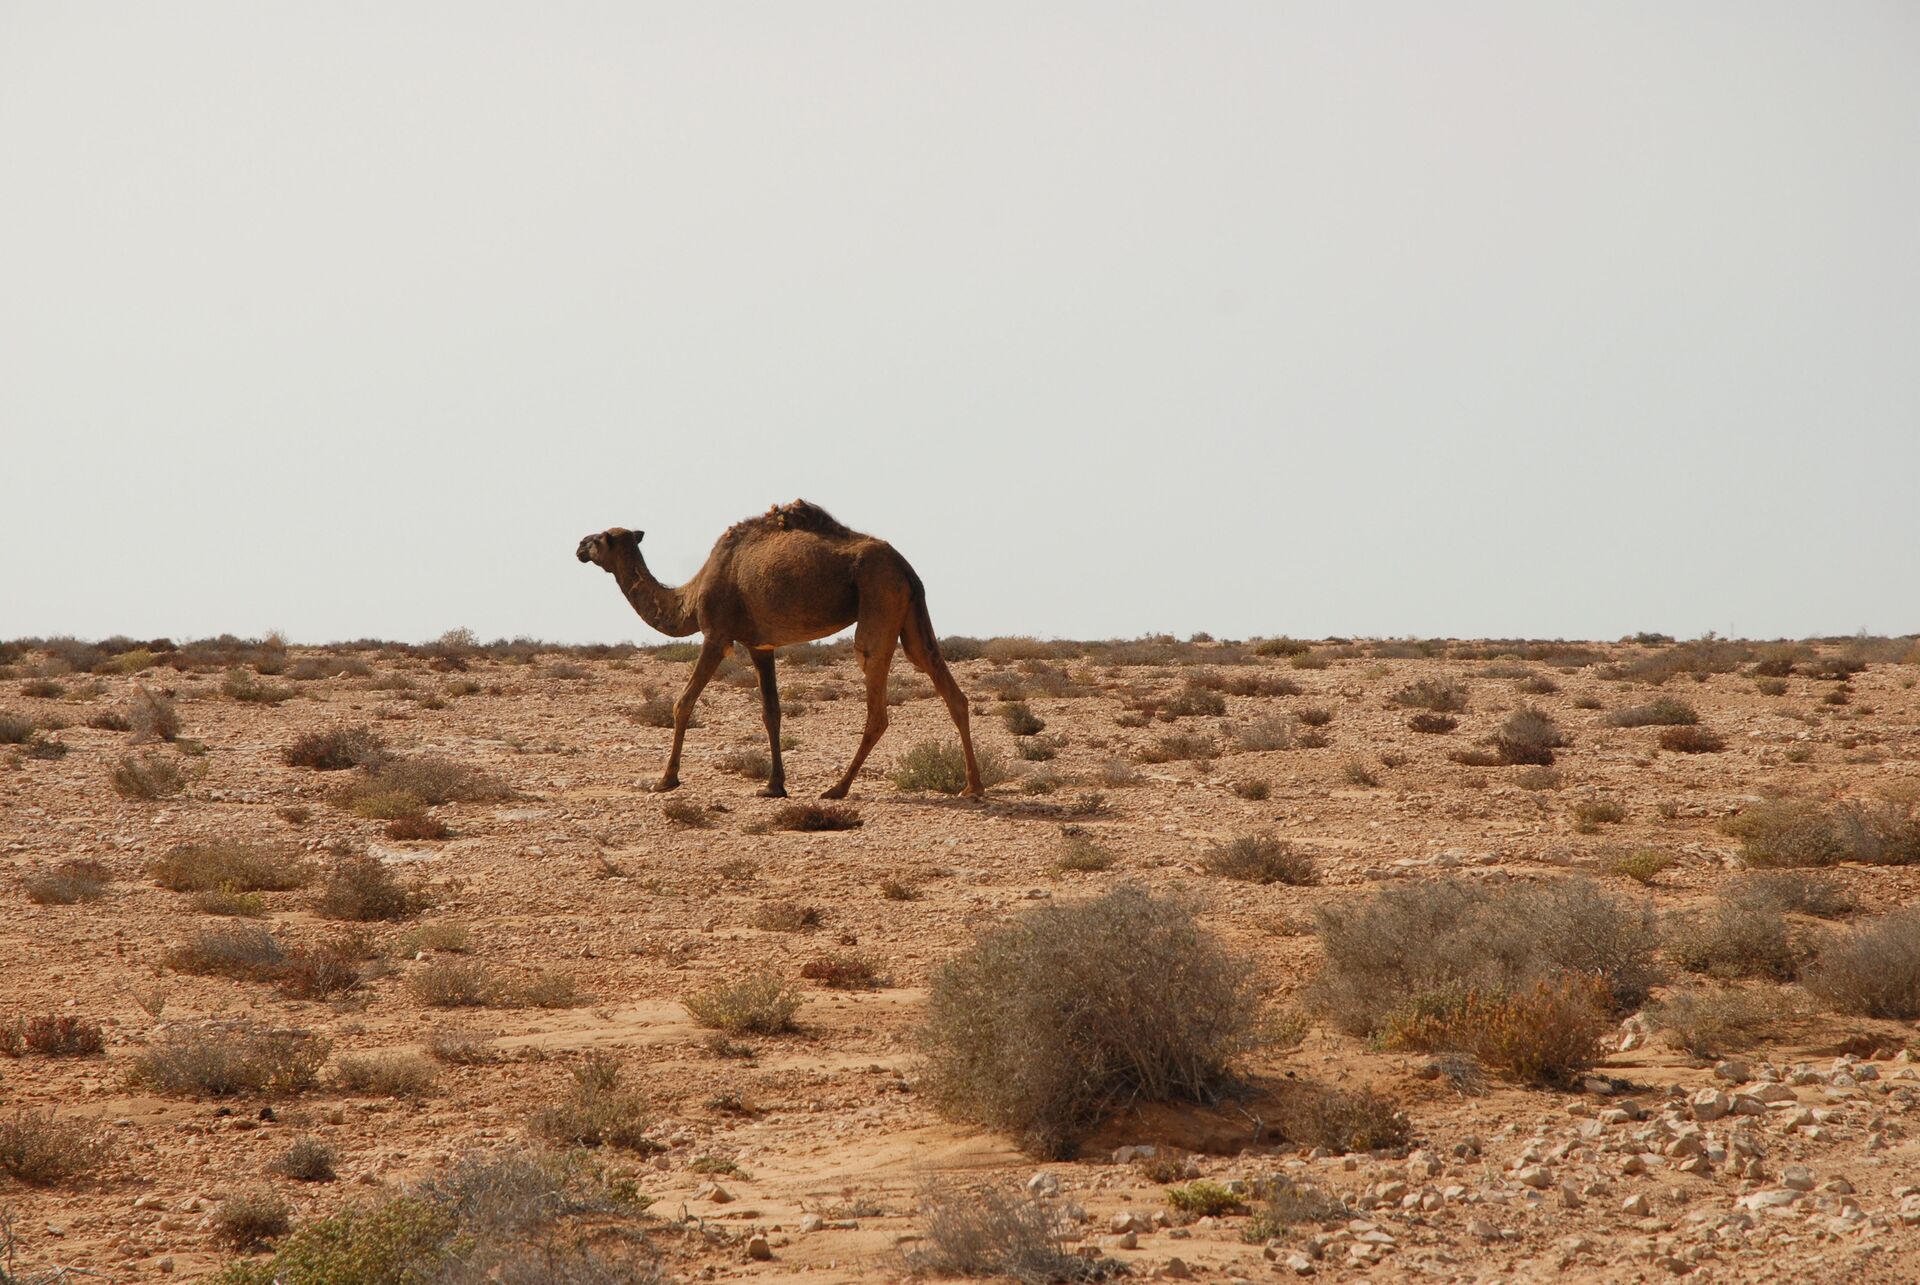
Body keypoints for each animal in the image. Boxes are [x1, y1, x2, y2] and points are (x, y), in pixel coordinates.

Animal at [576, 503, 983, 795]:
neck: (689, 598)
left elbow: (683, 702)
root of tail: (906, 566)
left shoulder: (717, 635)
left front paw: (666, 780)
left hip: (879, 594)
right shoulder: (760, 644)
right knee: (941, 678)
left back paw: (837, 788)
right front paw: (774, 786)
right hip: (911, 610)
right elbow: (771, 712)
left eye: (600, 538)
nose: (579, 546)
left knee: (876, 697)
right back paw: (972, 786)